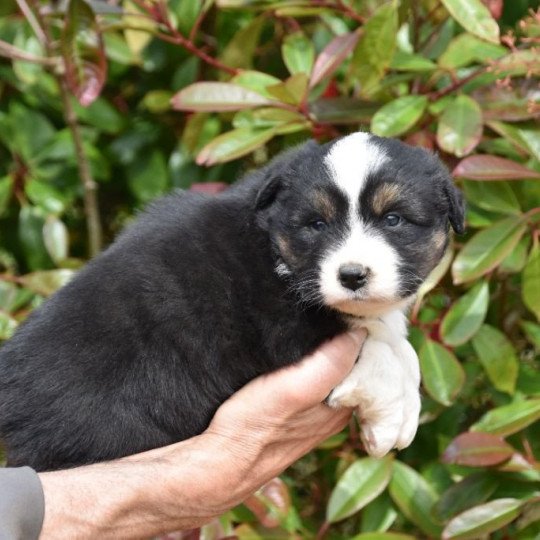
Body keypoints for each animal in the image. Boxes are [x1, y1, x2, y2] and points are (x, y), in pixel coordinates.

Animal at [0, 133, 464, 470]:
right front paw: (390, 421)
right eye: (316, 224)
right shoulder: (287, 331)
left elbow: (401, 348)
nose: (351, 276)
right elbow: (383, 350)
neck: (270, 243)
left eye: (393, 219)